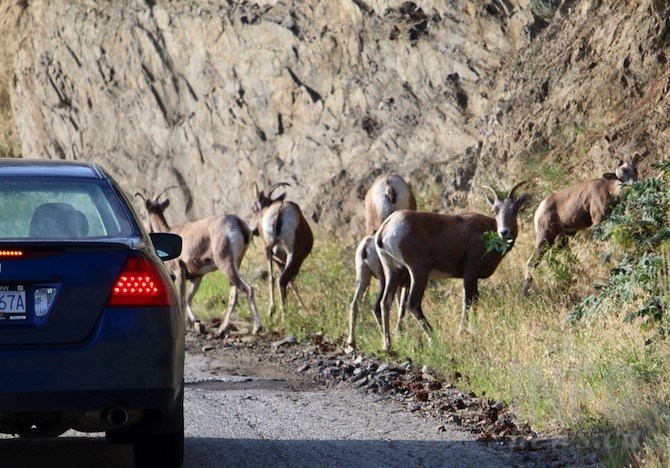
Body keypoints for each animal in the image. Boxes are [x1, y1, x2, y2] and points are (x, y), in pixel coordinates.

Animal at [136, 188, 262, 334]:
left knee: (247, 289)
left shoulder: (179, 272)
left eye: (142, 214)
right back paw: (221, 329)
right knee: (234, 296)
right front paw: (198, 325)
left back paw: (256, 328)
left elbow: (183, 300)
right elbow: (189, 299)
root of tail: (238, 224)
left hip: (225, 263)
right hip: (236, 264)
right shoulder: (196, 277)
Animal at [252, 183, 316, 318]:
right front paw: (303, 308)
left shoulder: (277, 260)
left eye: (253, 209)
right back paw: (284, 315)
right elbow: (292, 282)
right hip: (293, 255)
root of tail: (279, 212)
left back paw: (271, 311)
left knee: (272, 278)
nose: (253, 230)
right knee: (282, 280)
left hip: (268, 252)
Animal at [376, 183, 528, 352]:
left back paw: (387, 345)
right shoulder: (470, 271)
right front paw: (462, 331)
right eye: (494, 211)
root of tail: (385, 229)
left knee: (385, 302)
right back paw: (434, 340)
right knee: (413, 304)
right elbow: (468, 300)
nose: (504, 232)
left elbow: (475, 299)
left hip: (393, 272)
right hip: (418, 272)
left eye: (514, 210)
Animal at [524, 155, 640, 294]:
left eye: (635, 170)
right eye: (620, 178)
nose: (634, 185)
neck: (610, 191)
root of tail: (538, 211)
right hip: (545, 235)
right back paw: (525, 292)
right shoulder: (597, 221)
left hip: (565, 236)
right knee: (532, 262)